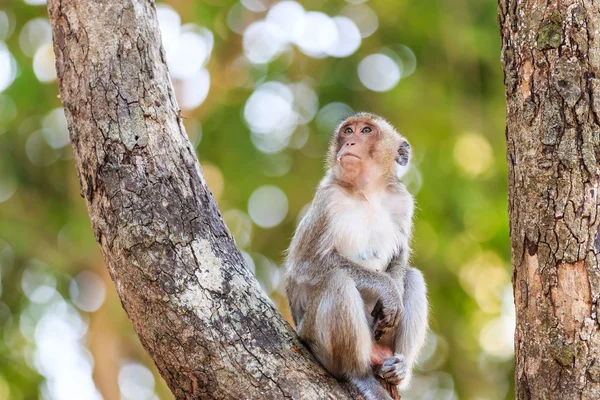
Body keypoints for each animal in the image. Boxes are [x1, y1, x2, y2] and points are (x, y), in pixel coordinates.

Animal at [284, 111, 428, 398]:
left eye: (366, 131)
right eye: (348, 131)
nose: (349, 143)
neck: (366, 192)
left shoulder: (402, 200)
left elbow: (399, 256)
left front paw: (394, 291)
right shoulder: (327, 199)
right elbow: (304, 265)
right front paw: (388, 290)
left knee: (414, 276)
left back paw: (399, 368)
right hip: (312, 337)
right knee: (337, 280)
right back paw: (357, 375)